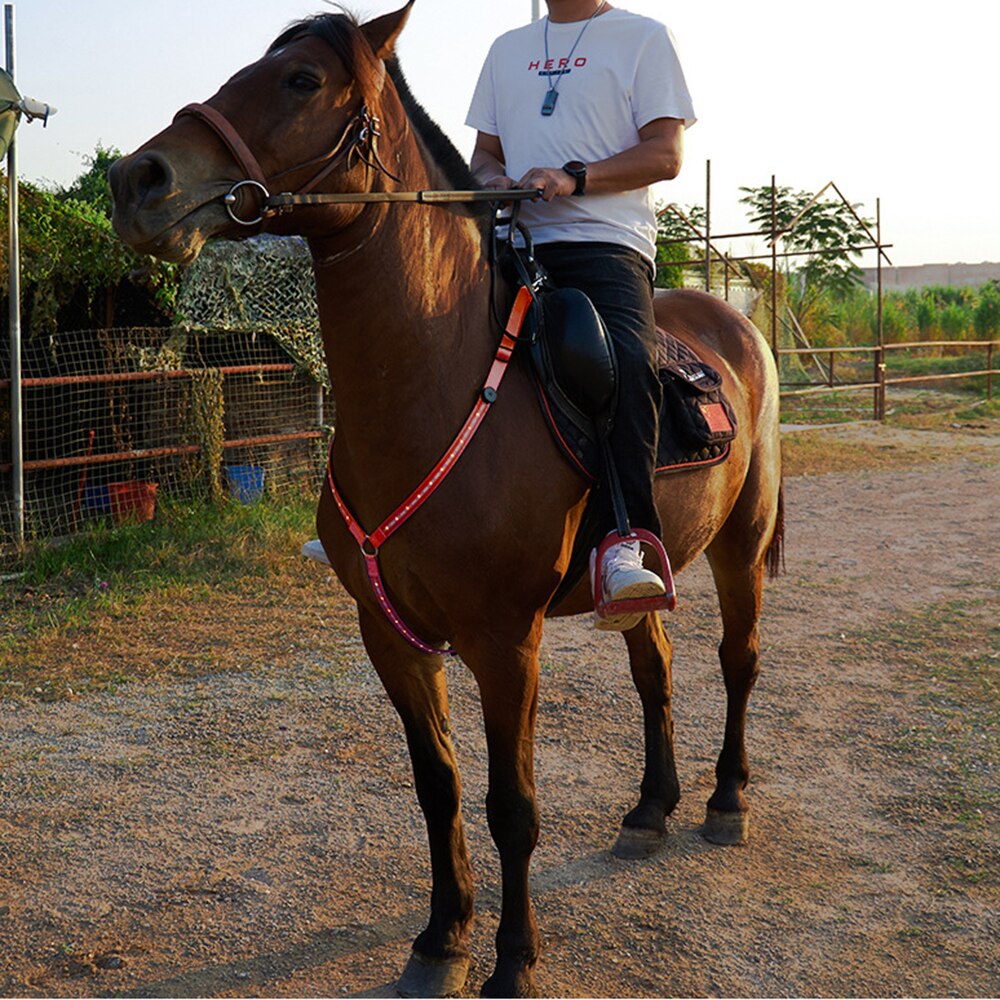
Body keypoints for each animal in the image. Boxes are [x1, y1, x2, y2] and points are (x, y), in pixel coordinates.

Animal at [109, 4, 784, 996]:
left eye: (302, 81)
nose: (136, 180)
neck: (432, 386)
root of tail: (735, 321)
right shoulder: (391, 635)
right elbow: (441, 787)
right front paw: (441, 940)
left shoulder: (505, 642)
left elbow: (513, 807)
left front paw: (513, 961)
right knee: (654, 667)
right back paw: (649, 810)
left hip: (743, 541)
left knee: (738, 661)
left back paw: (725, 798)